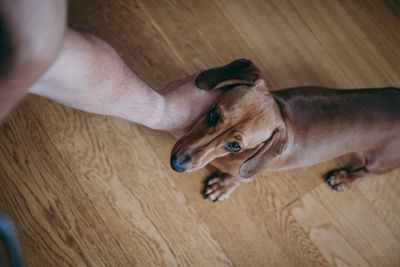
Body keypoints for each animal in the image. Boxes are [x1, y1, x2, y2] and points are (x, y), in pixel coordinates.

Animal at [170, 59, 400, 203]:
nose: (176, 164)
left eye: (234, 146)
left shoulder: (245, 175)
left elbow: (235, 179)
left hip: (381, 162)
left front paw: (221, 187)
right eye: (213, 114)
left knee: (366, 172)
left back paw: (343, 179)